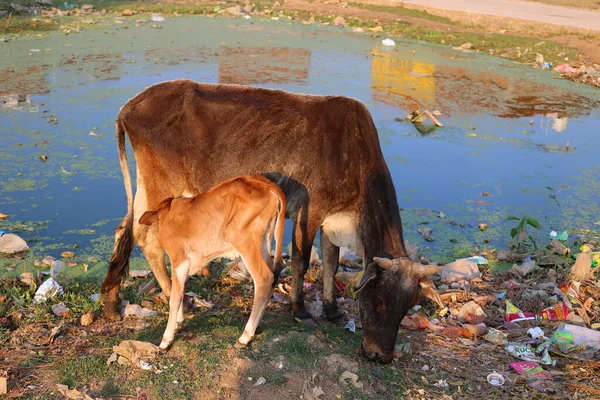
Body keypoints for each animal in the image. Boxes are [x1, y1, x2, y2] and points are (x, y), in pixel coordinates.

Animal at [138, 175, 286, 350]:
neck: (169, 213)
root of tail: (264, 183)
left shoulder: (179, 260)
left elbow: (175, 296)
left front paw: (166, 339)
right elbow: (180, 291)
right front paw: (179, 323)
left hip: (244, 242)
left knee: (264, 279)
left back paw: (245, 337)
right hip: (263, 242)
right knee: (273, 277)